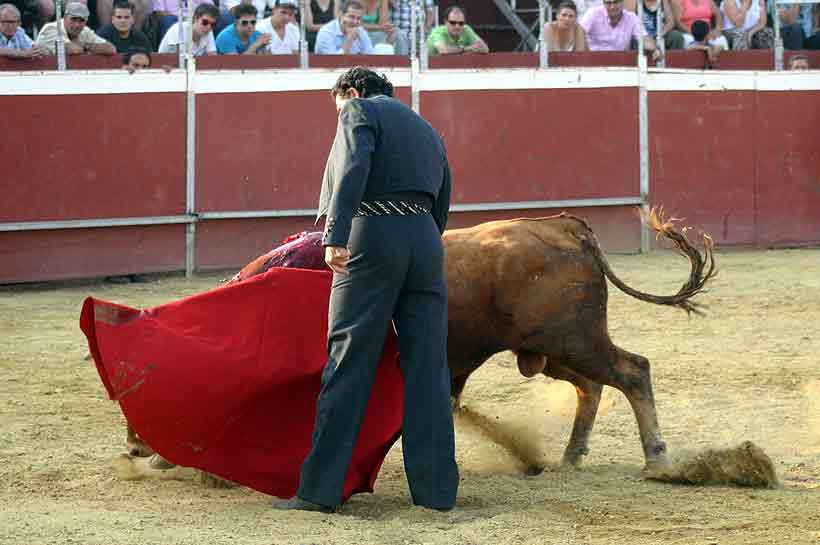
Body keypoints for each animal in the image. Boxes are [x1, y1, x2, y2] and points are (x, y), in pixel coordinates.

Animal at [125, 209, 716, 472]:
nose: (135, 446)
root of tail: (563, 226)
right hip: (546, 348)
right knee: (590, 387)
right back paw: (570, 457)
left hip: (574, 338)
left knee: (632, 371)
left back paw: (656, 458)